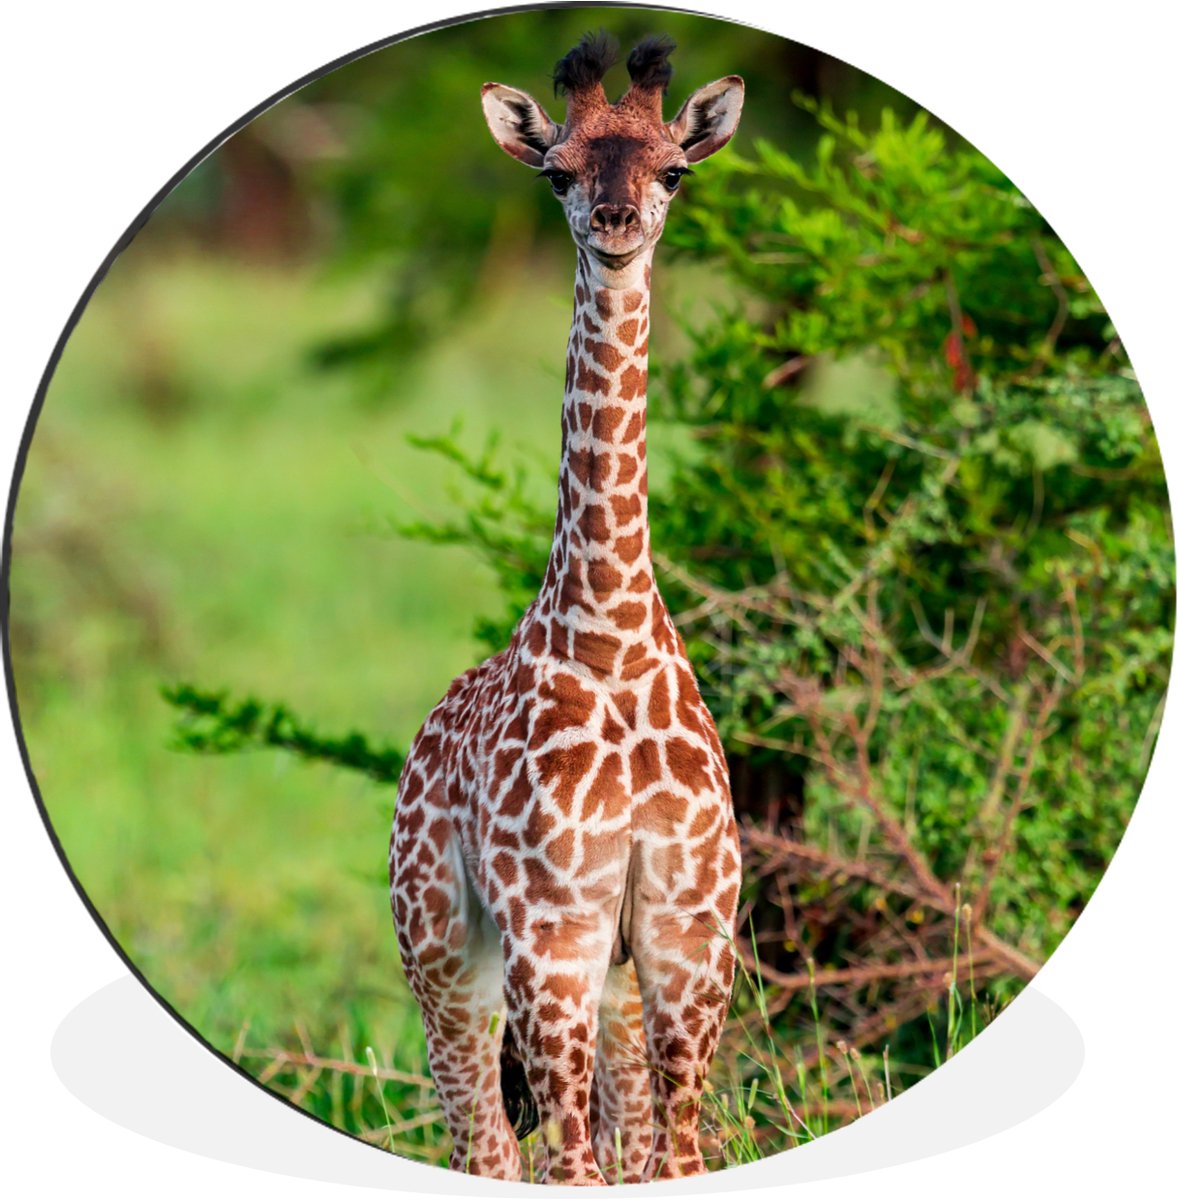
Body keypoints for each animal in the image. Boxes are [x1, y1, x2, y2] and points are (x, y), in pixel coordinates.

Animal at [389, 33, 744, 1185]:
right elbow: (565, 1165)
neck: (612, 632)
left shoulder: (685, 940)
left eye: (674, 170)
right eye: (557, 173)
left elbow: (673, 1162)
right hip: (444, 956)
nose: (618, 224)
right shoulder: (552, 937)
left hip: (614, 988)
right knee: (487, 1143)